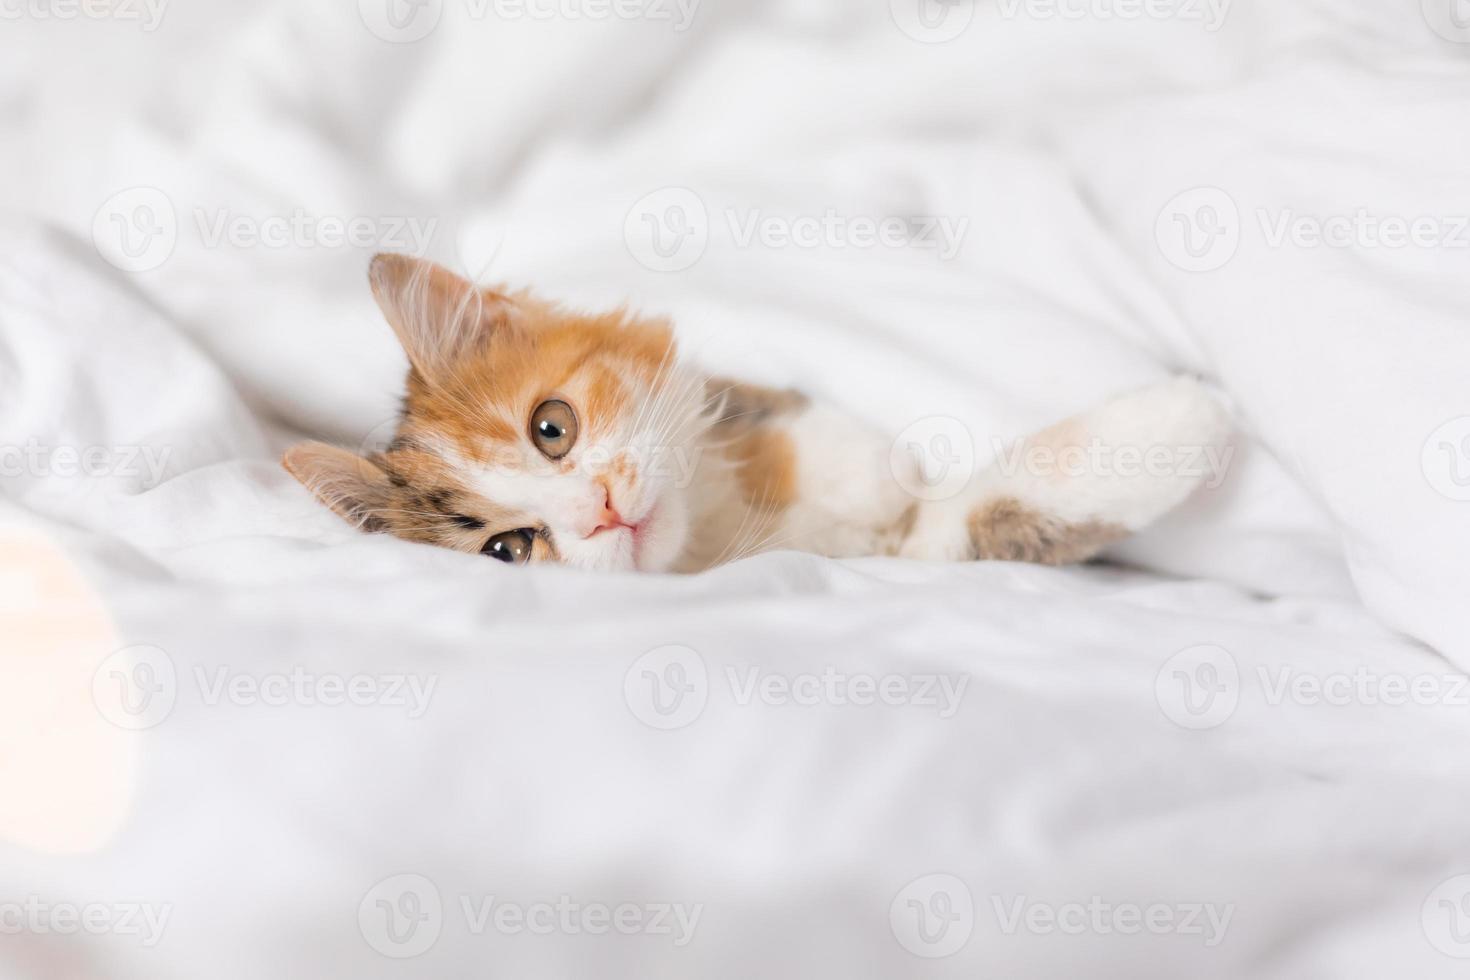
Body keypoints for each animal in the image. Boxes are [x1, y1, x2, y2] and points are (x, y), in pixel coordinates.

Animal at [283, 252, 1228, 575]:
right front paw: (1181, 427)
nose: (600, 511)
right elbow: (985, 516)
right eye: (508, 550)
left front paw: (872, 473)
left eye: (551, 428)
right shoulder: (912, 558)